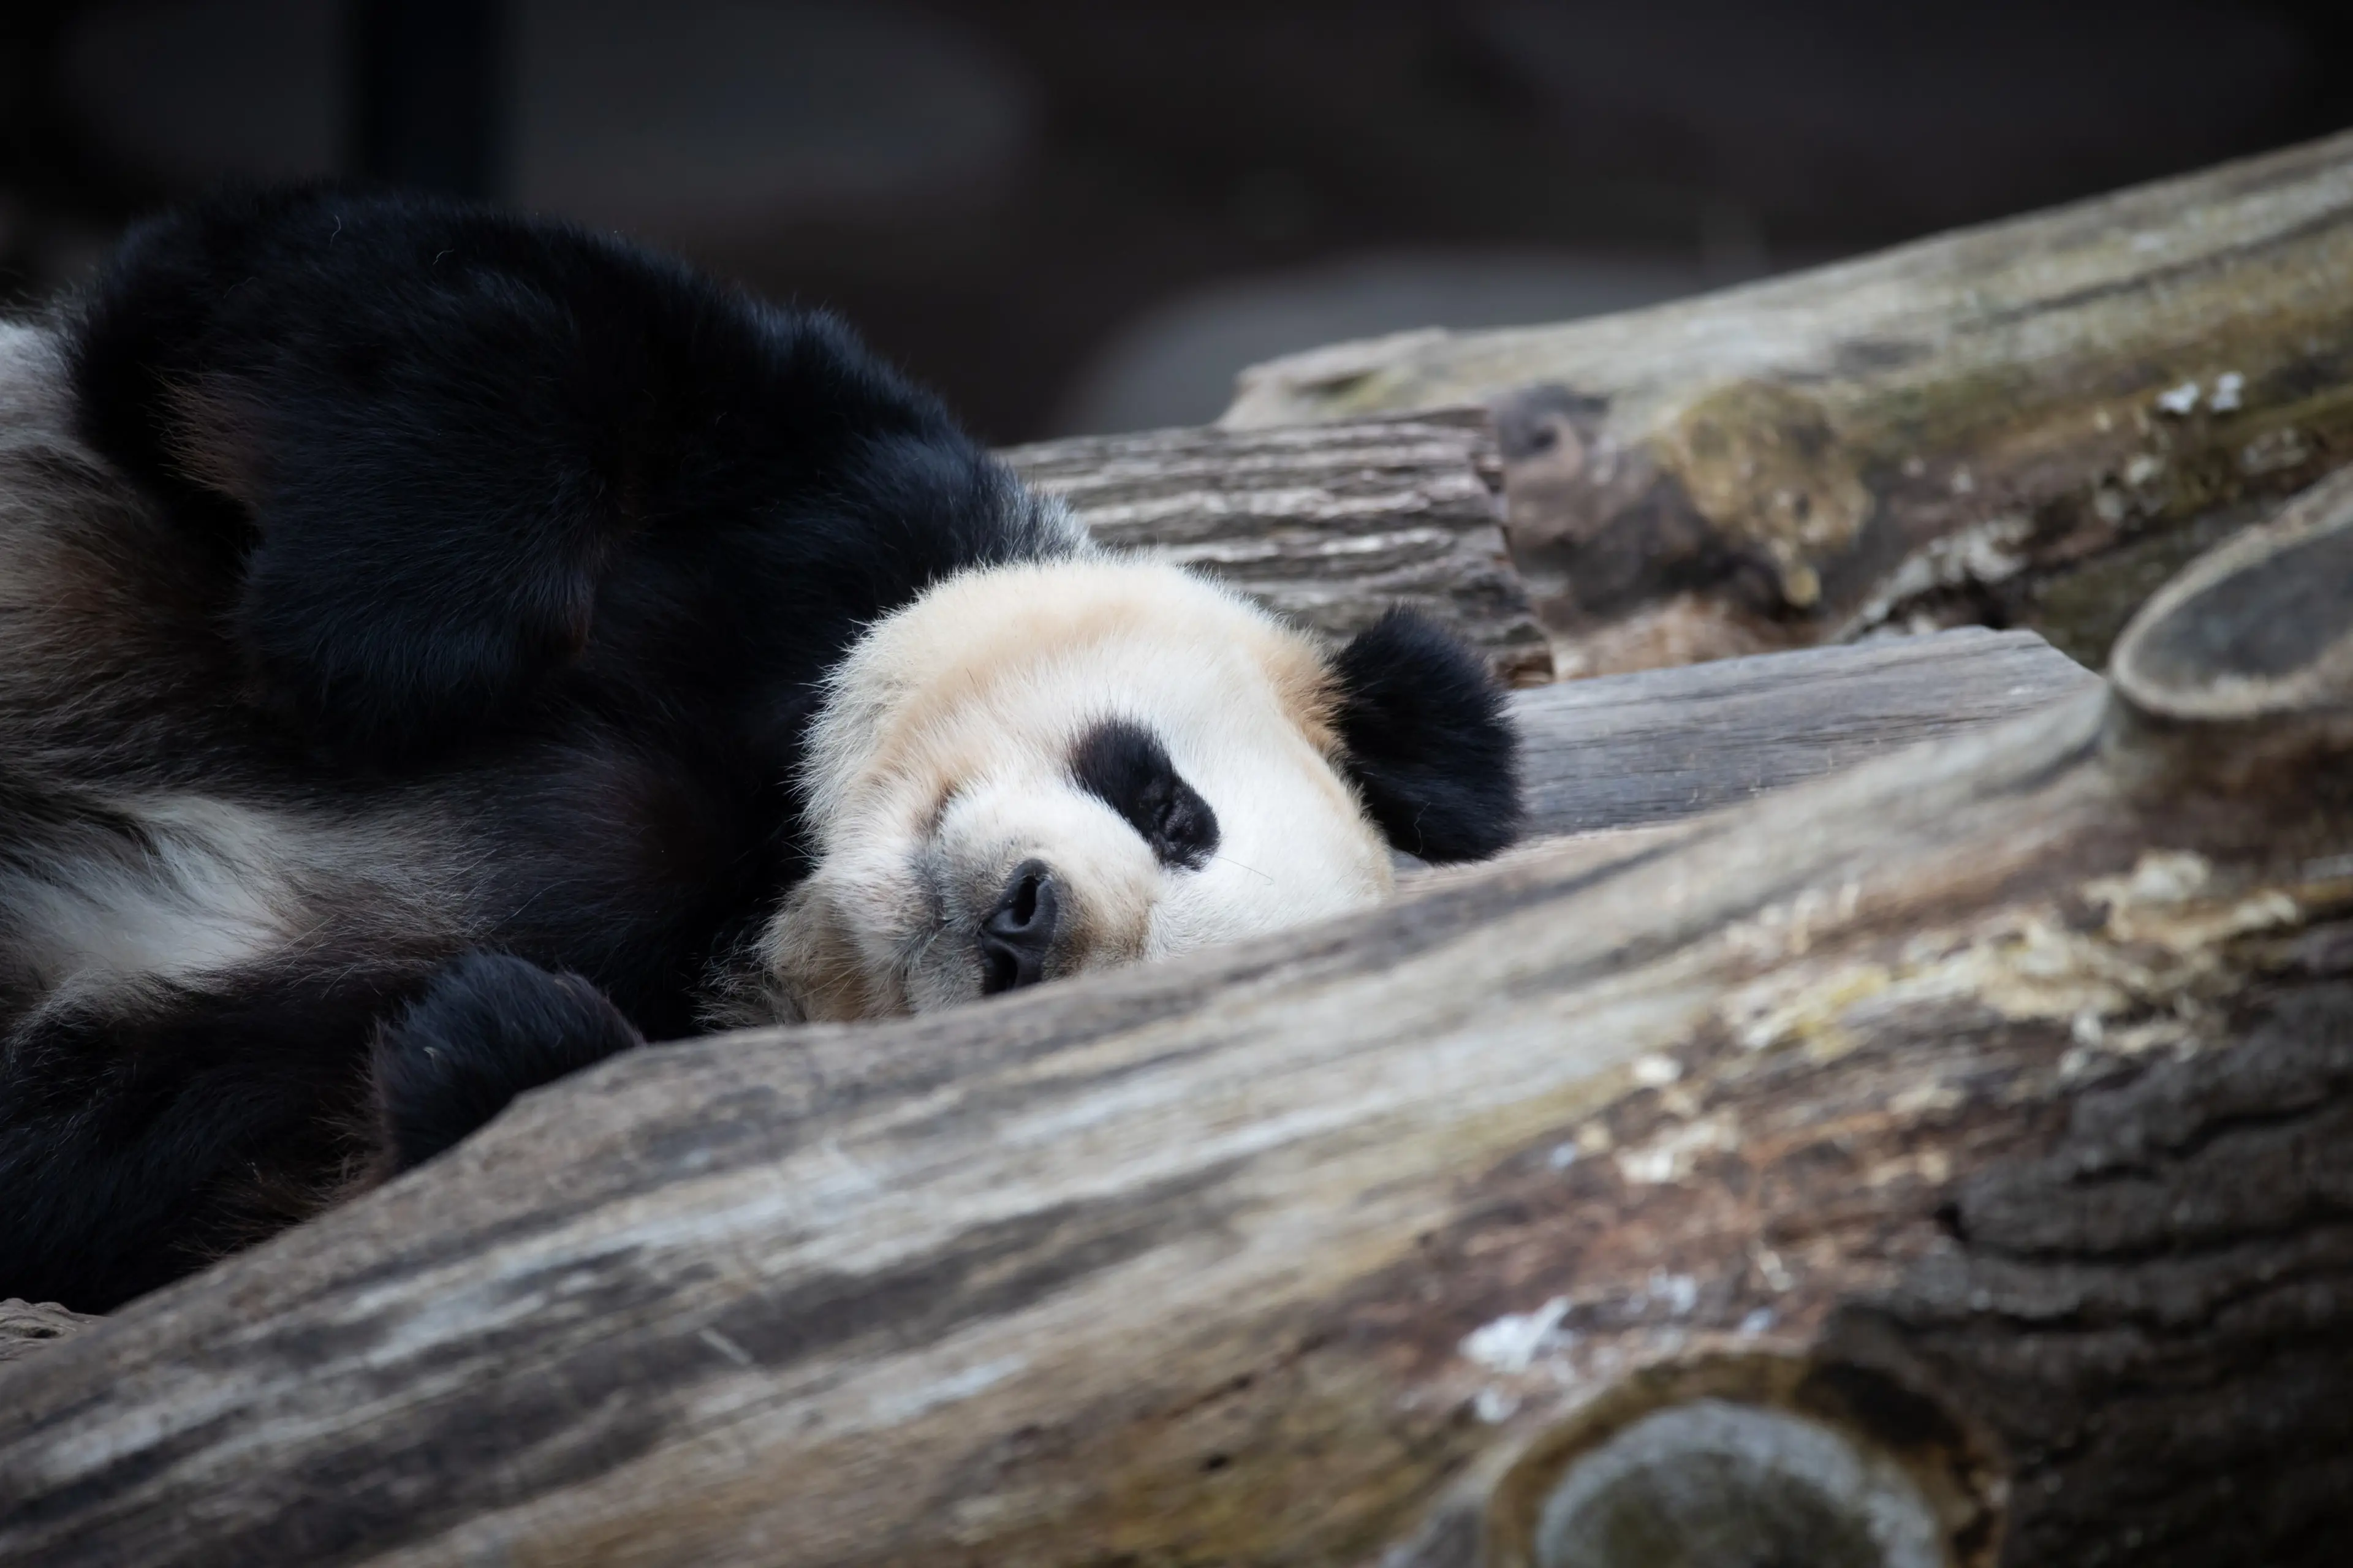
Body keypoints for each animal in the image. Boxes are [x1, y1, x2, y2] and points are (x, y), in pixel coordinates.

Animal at [0, 186, 1520, 1313]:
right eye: (1169, 809)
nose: (1024, 919)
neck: (774, 869)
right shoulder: (833, 505)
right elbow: (395, 306)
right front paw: (378, 639)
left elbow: (178, 1202)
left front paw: (500, 1034)